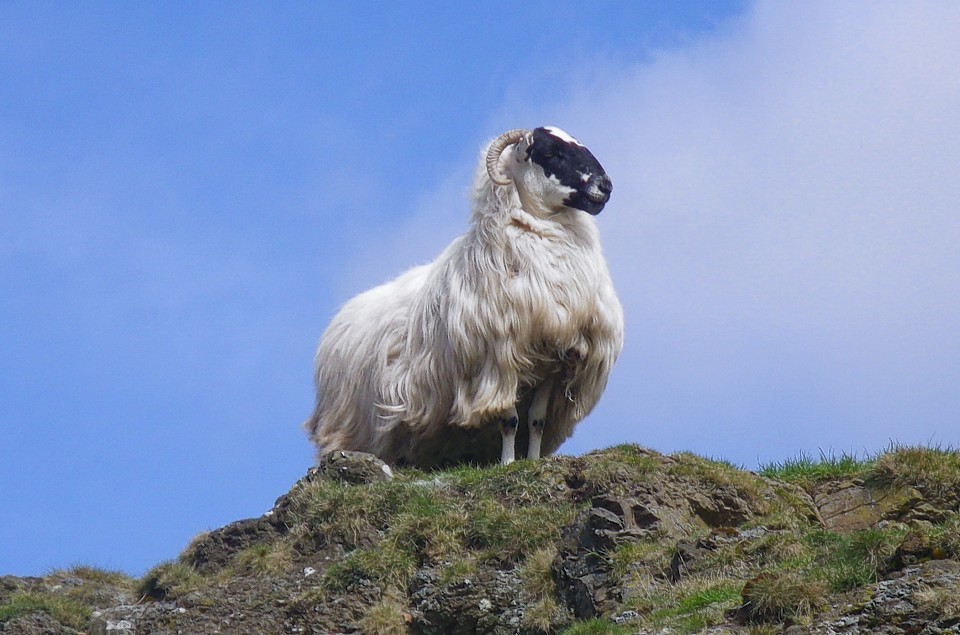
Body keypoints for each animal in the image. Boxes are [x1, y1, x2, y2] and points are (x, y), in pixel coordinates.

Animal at [304, 126, 628, 470]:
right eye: (552, 153)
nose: (606, 186)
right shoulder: (500, 360)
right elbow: (509, 421)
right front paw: (508, 463)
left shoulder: (554, 363)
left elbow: (536, 421)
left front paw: (531, 461)